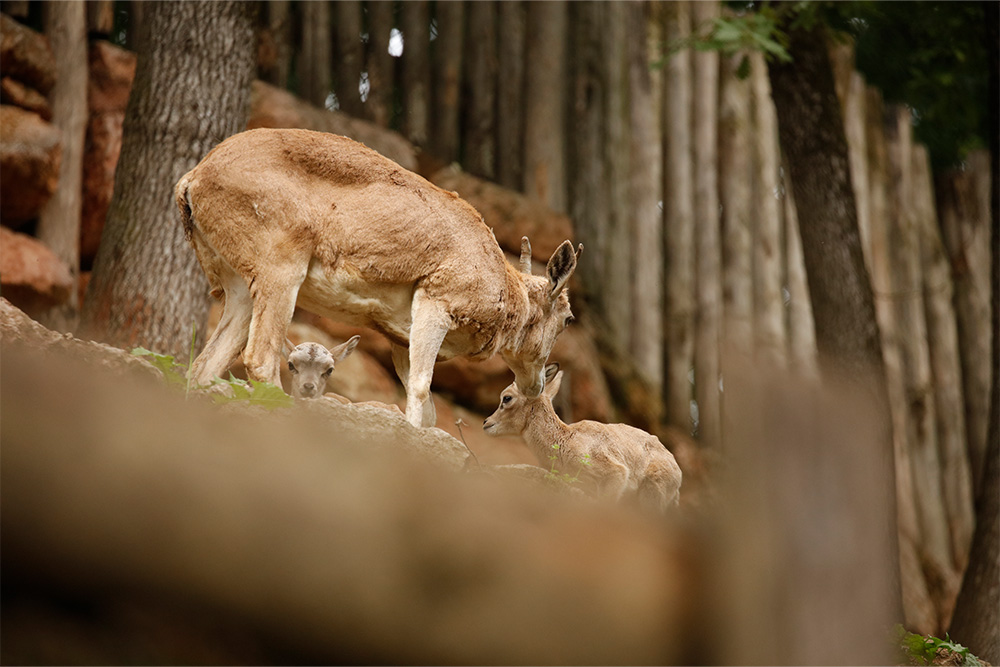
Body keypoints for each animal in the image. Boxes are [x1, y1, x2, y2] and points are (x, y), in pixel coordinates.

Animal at [482, 366, 684, 512]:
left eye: (507, 398)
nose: (486, 422)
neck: (565, 440)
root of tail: (677, 473)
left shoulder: (615, 474)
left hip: (653, 492)